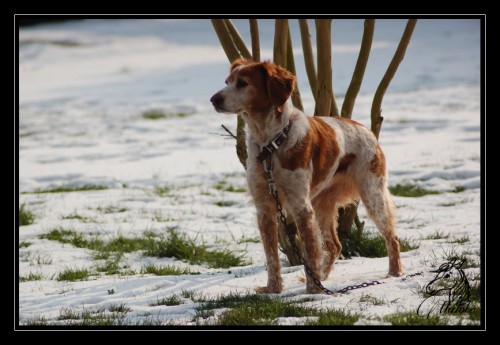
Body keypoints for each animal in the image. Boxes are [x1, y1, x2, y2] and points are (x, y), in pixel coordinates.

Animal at [210, 59, 402, 292]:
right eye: (227, 81)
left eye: (242, 83)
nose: (214, 99)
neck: (271, 145)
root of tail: (367, 130)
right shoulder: (264, 208)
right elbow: (272, 257)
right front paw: (273, 289)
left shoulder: (301, 206)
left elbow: (309, 252)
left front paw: (313, 292)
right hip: (322, 204)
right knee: (335, 245)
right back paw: (324, 276)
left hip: (372, 195)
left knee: (392, 237)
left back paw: (394, 274)